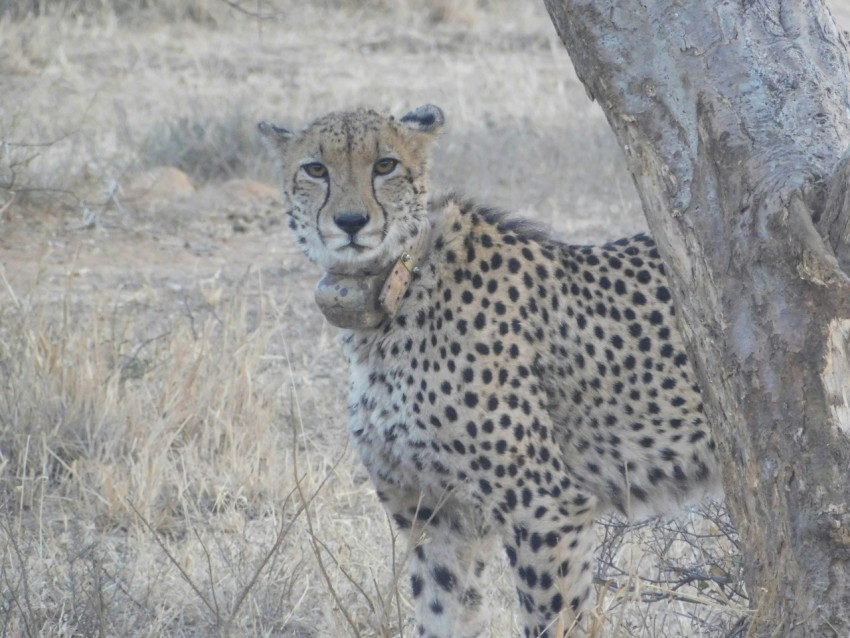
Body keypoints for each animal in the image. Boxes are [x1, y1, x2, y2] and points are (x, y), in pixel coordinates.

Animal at [258, 106, 716, 638]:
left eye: (385, 165)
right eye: (315, 169)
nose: (351, 221)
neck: (397, 287)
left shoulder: (545, 508)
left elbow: (553, 620)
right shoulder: (436, 518)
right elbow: (442, 616)